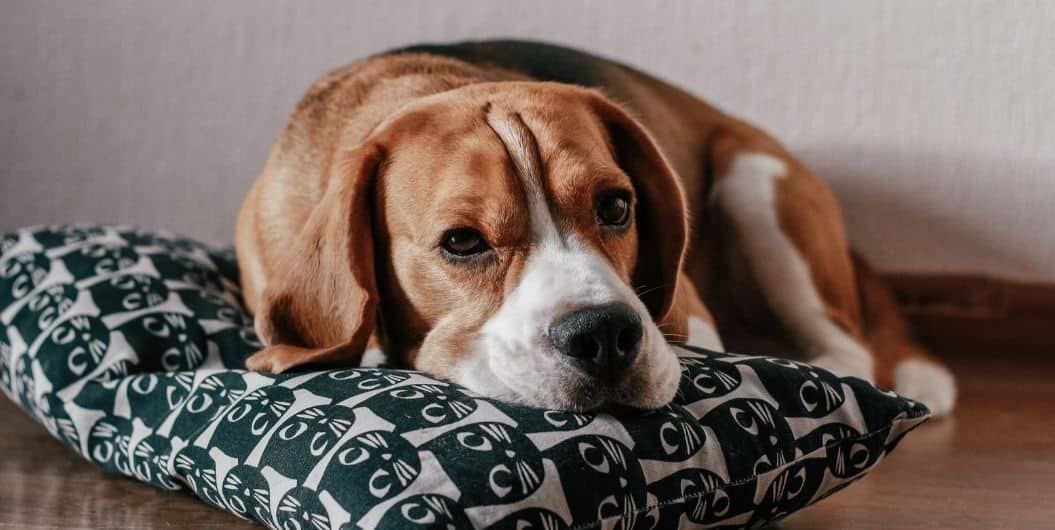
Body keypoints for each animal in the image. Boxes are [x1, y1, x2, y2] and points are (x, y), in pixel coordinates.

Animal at [237, 40, 957, 413]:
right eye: (462, 243)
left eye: (616, 207)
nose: (606, 336)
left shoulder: (690, 318)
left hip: (755, 178)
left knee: (852, 353)